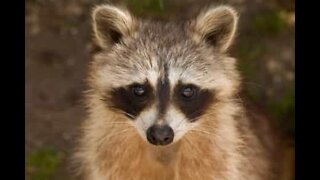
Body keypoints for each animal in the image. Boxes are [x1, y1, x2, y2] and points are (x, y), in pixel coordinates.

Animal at [73, 4, 282, 180]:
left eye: (187, 91)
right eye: (139, 90)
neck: (163, 151)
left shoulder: (224, 157)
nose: (160, 135)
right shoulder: (108, 153)